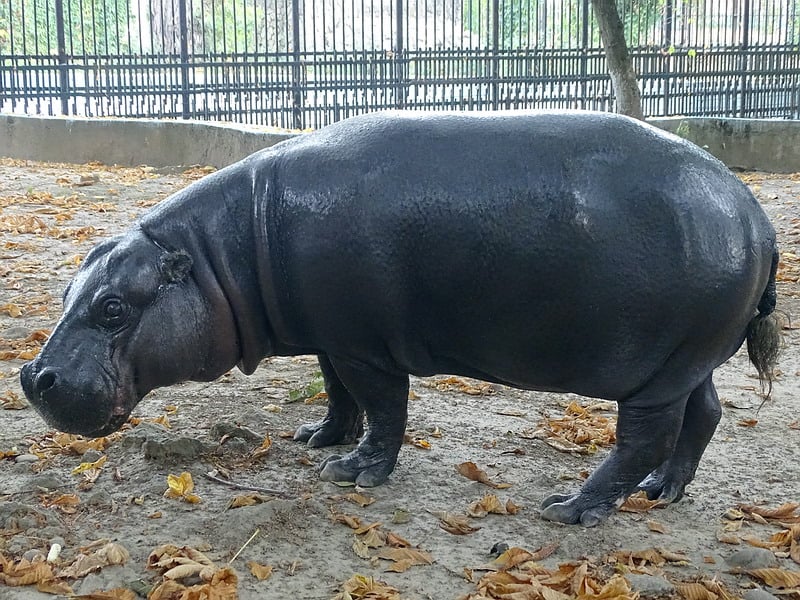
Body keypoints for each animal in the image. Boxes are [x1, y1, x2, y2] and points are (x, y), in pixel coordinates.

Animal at [20, 111, 780, 524]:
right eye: (65, 291)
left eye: (114, 307)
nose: (34, 378)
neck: (220, 255)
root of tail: (757, 216)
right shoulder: (332, 338)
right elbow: (337, 393)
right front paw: (316, 440)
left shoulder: (366, 345)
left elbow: (384, 407)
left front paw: (353, 473)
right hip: (685, 360)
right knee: (704, 414)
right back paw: (663, 494)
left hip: (657, 372)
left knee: (644, 439)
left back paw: (570, 509)